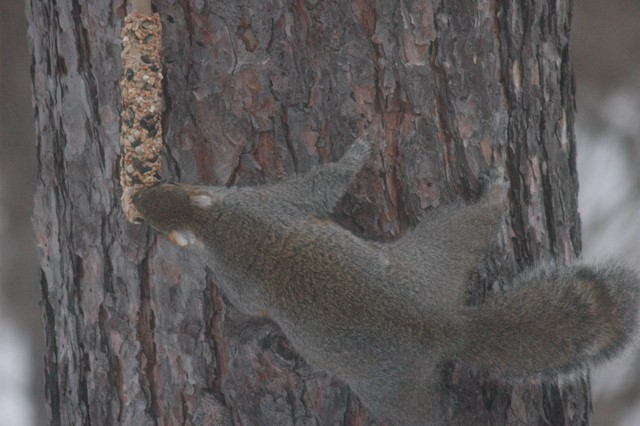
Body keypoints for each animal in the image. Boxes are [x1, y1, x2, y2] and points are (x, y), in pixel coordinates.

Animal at [132, 137, 640, 425]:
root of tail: (447, 329)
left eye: (168, 188)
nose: (137, 196)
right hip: (440, 257)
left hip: (423, 282)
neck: (214, 224)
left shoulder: (273, 205)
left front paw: (357, 151)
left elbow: (323, 182)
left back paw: (496, 188)